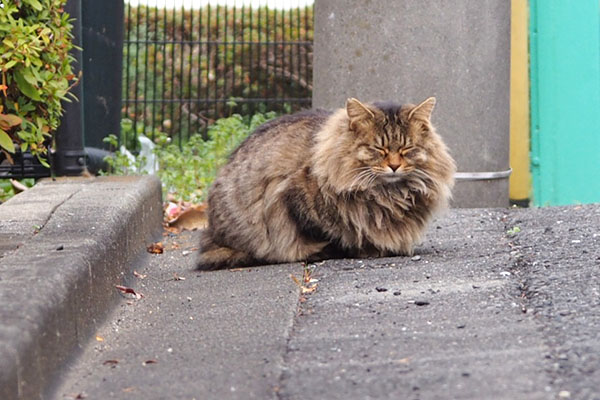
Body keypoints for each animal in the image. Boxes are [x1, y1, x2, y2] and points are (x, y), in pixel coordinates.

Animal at [197, 98, 454, 270]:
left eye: (406, 149)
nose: (394, 166)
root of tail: (211, 236)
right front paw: (366, 249)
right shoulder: (290, 197)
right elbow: (329, 233)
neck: (388, 194)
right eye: (377, 149)